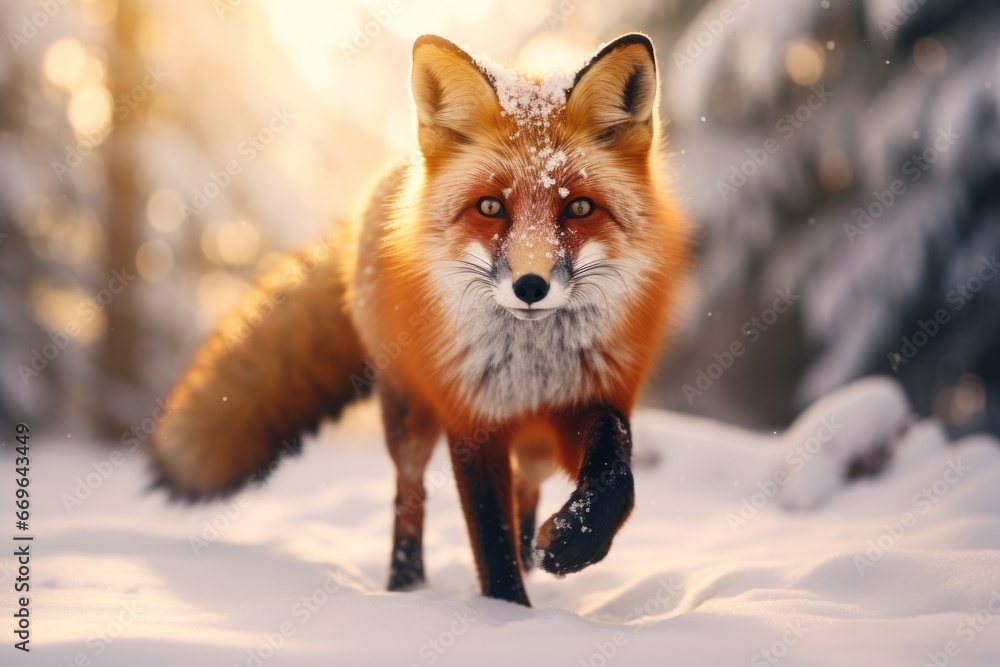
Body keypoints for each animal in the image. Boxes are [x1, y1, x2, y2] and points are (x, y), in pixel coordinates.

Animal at [151, 32, 689, 607]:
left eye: (580, 208)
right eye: (491, 207)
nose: (530, 286)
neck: (530, 372)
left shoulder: (590, 398)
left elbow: (616, 475)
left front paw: (575, 542)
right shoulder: (471, 419)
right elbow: (489, 536)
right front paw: (508, 614)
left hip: (536, 444)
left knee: (528, 485)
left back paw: (532, 552)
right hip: (407, 416)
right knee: (409, 494)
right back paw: (405, 584)